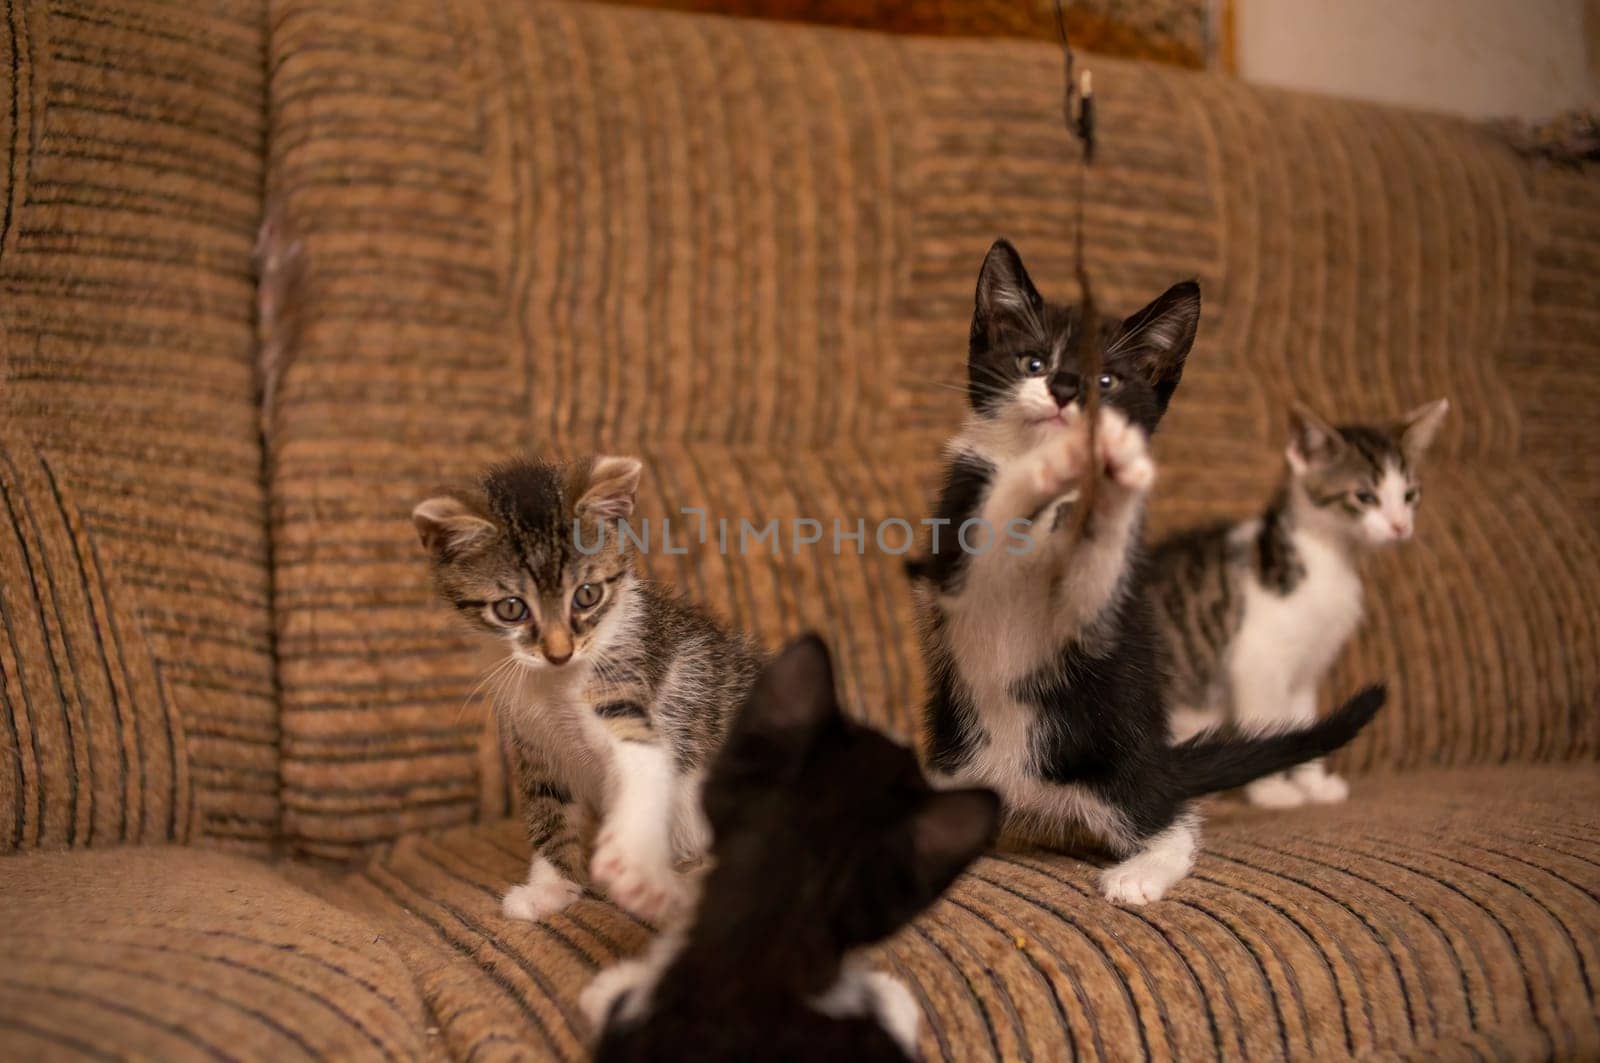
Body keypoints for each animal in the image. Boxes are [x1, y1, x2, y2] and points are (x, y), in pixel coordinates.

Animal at [412, 454, 761, 922]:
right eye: (511, 609)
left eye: (587, 595)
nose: (559, 652)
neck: (554, 681)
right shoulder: (535, 743)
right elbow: (549, 808)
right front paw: (551, 886)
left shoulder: (627, 688)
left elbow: (643, 764)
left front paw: (629, 862)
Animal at [908, 240, 1382, 902]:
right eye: (1033, 361)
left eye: (1108, 381)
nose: (1065, 387)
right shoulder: (953, 549)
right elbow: (985, 533)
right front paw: (1042, 473)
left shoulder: (1098, 613)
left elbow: (1094, 573)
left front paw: (1108, 480)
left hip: (1114, 765)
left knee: (1172, 819)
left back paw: (1140, 872)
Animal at [1152, 398, 1452, 806]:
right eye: (1364, 497)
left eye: (1409, 495)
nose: (1400, 527)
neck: (1328, 560)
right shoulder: (1257, 661)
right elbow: (1263, 723)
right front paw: (1273, 791)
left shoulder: (1308, 665)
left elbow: (1306, 720)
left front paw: (1314, 783)